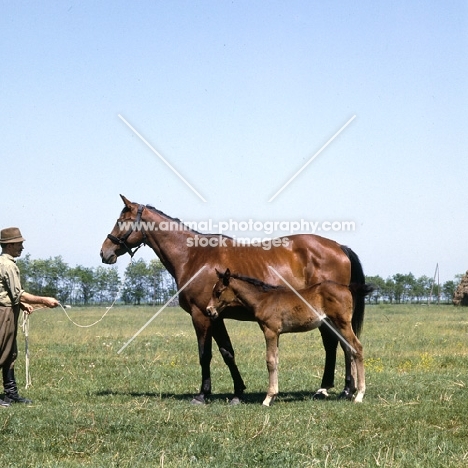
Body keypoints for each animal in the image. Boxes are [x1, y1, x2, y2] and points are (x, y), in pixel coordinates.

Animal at [207, 268, 368, 408]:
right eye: (213, 291)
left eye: (218, 292)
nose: (209, 311)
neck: (263, 299)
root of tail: (347, 288)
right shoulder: (277, 334)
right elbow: (276, 360)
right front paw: (273, 396)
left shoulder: (270, 331)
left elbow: (270, 361)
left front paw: (268, 399)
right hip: (335, 325)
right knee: (349, 349)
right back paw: (351, 393)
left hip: (342, 323)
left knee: (357, 347)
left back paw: (359, 395)